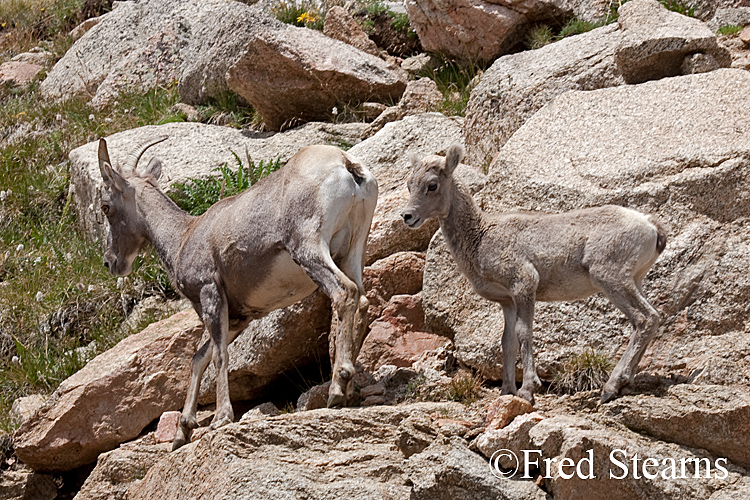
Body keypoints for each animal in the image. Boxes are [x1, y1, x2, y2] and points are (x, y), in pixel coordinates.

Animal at [99, 138, 378, 450]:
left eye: (105, 206)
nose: (111, 262)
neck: (183, 237)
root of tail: (345, 164)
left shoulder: (210, 293)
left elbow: (219, 356)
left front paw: (221, 418)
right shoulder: (238, 318)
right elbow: (199, 358)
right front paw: (182, 432)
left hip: (309, 249)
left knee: (344, 293)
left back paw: (337, 389)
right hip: (352, 251)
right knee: (361, 300)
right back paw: (351, 390)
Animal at [402, 144, 668, 402]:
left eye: (432, 185)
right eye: (409, 184)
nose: (407, 216)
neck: (480, 236)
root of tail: (651, 226)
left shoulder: (524, 283)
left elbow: (524, 332)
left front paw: (528, 390)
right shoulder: (507, 300)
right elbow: (507, 341)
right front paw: (506, 391)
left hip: (610, 278)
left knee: (645, 318)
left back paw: (611, 387)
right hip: (634, 280)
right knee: (647, 320)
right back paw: (625, 383)